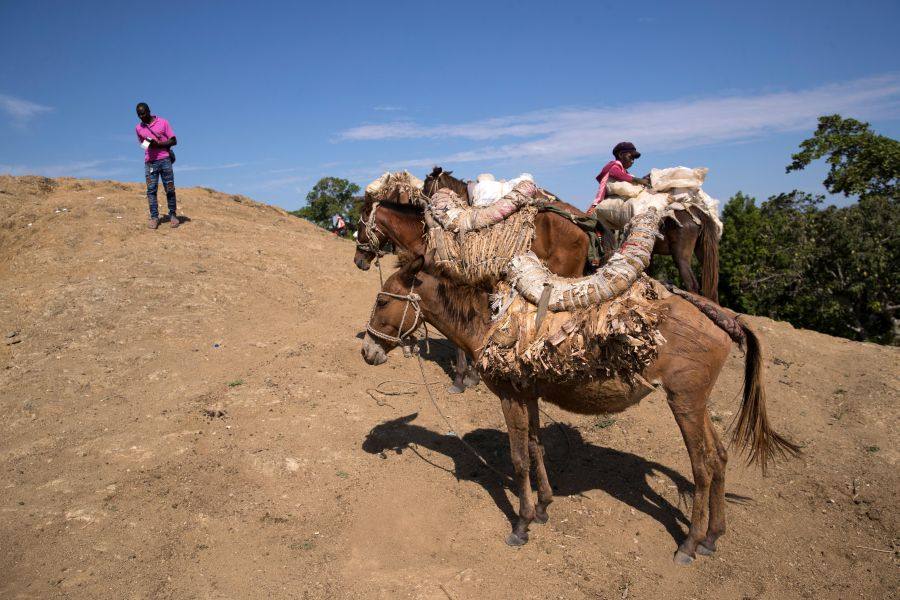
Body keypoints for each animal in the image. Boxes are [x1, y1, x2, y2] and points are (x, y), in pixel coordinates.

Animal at [362, 256, 800, 564]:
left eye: (382, 300)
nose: (366, 352)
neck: (490, 320)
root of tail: (723, 316)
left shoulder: (510, 396)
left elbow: (518, 458)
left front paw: (521, 524)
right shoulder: (529, 394)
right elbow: (536, 447)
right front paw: (543, 507)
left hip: (684, 402)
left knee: (703, 466)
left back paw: (690, 544)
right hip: (697, 402)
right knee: (720, 456)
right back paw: (712, 537)